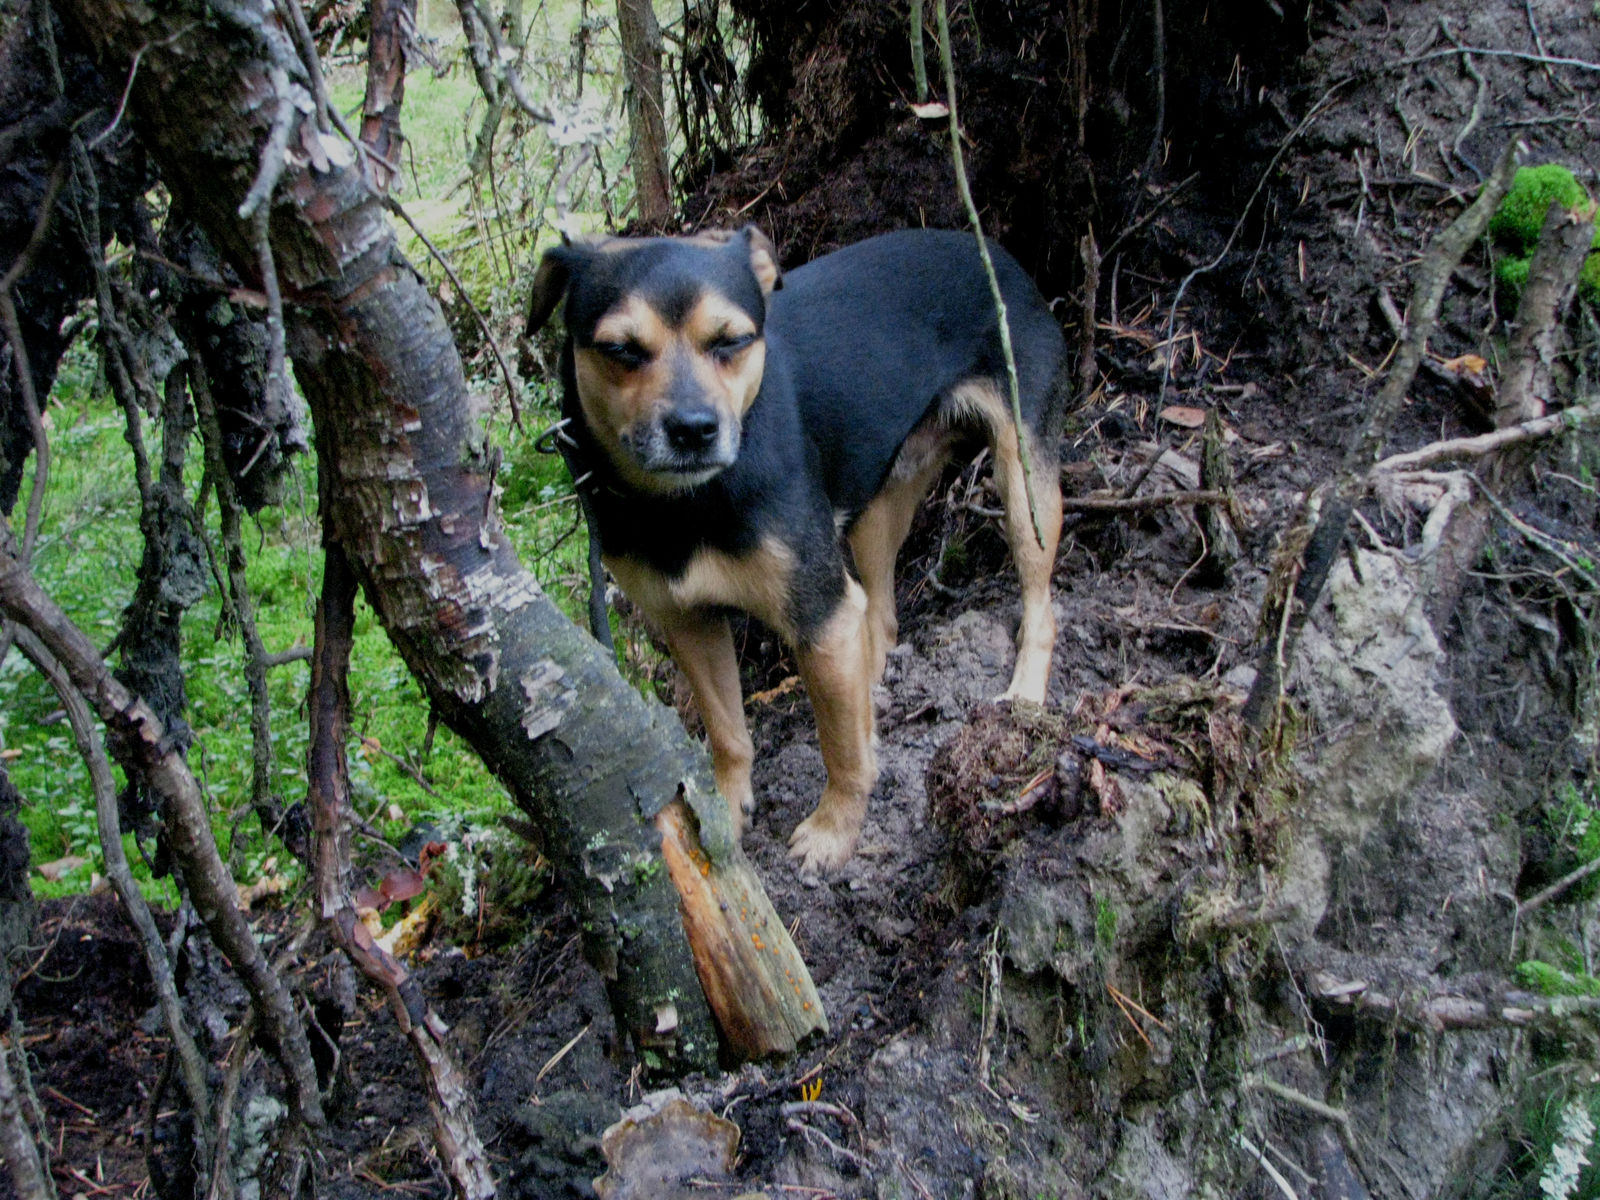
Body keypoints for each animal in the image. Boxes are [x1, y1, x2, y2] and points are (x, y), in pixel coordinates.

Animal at [531, 227, 1068, 876]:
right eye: (621, 350)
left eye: (732, 341)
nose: (693, 429)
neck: (682, 504)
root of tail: (993, 250)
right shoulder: (688, 622)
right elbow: (727, 730)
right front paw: (726, 809)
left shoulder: (818, 615)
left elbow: (840, 747)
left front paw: (834, 831)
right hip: (875, 509)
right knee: (880, 615)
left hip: (1021, 479)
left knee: (1039, 603)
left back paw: (1025, 693)